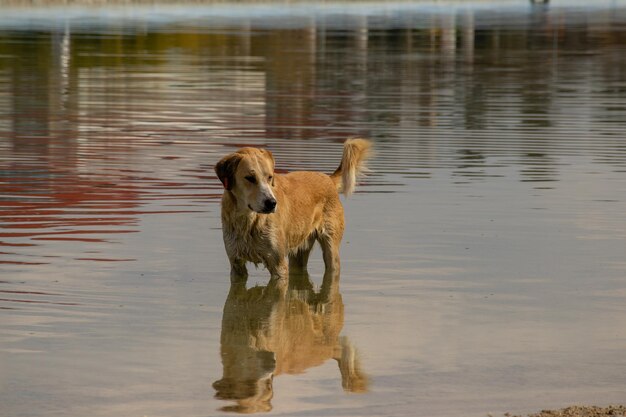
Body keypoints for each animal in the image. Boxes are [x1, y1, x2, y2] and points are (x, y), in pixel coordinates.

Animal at [214, 138, 370, 282]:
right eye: (250, 178)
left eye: (270, 177)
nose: (272, 203)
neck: (248, 221)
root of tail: (328, 178)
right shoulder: (236, 264)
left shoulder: (278, 264)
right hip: (299, 251)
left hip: (331, 246)